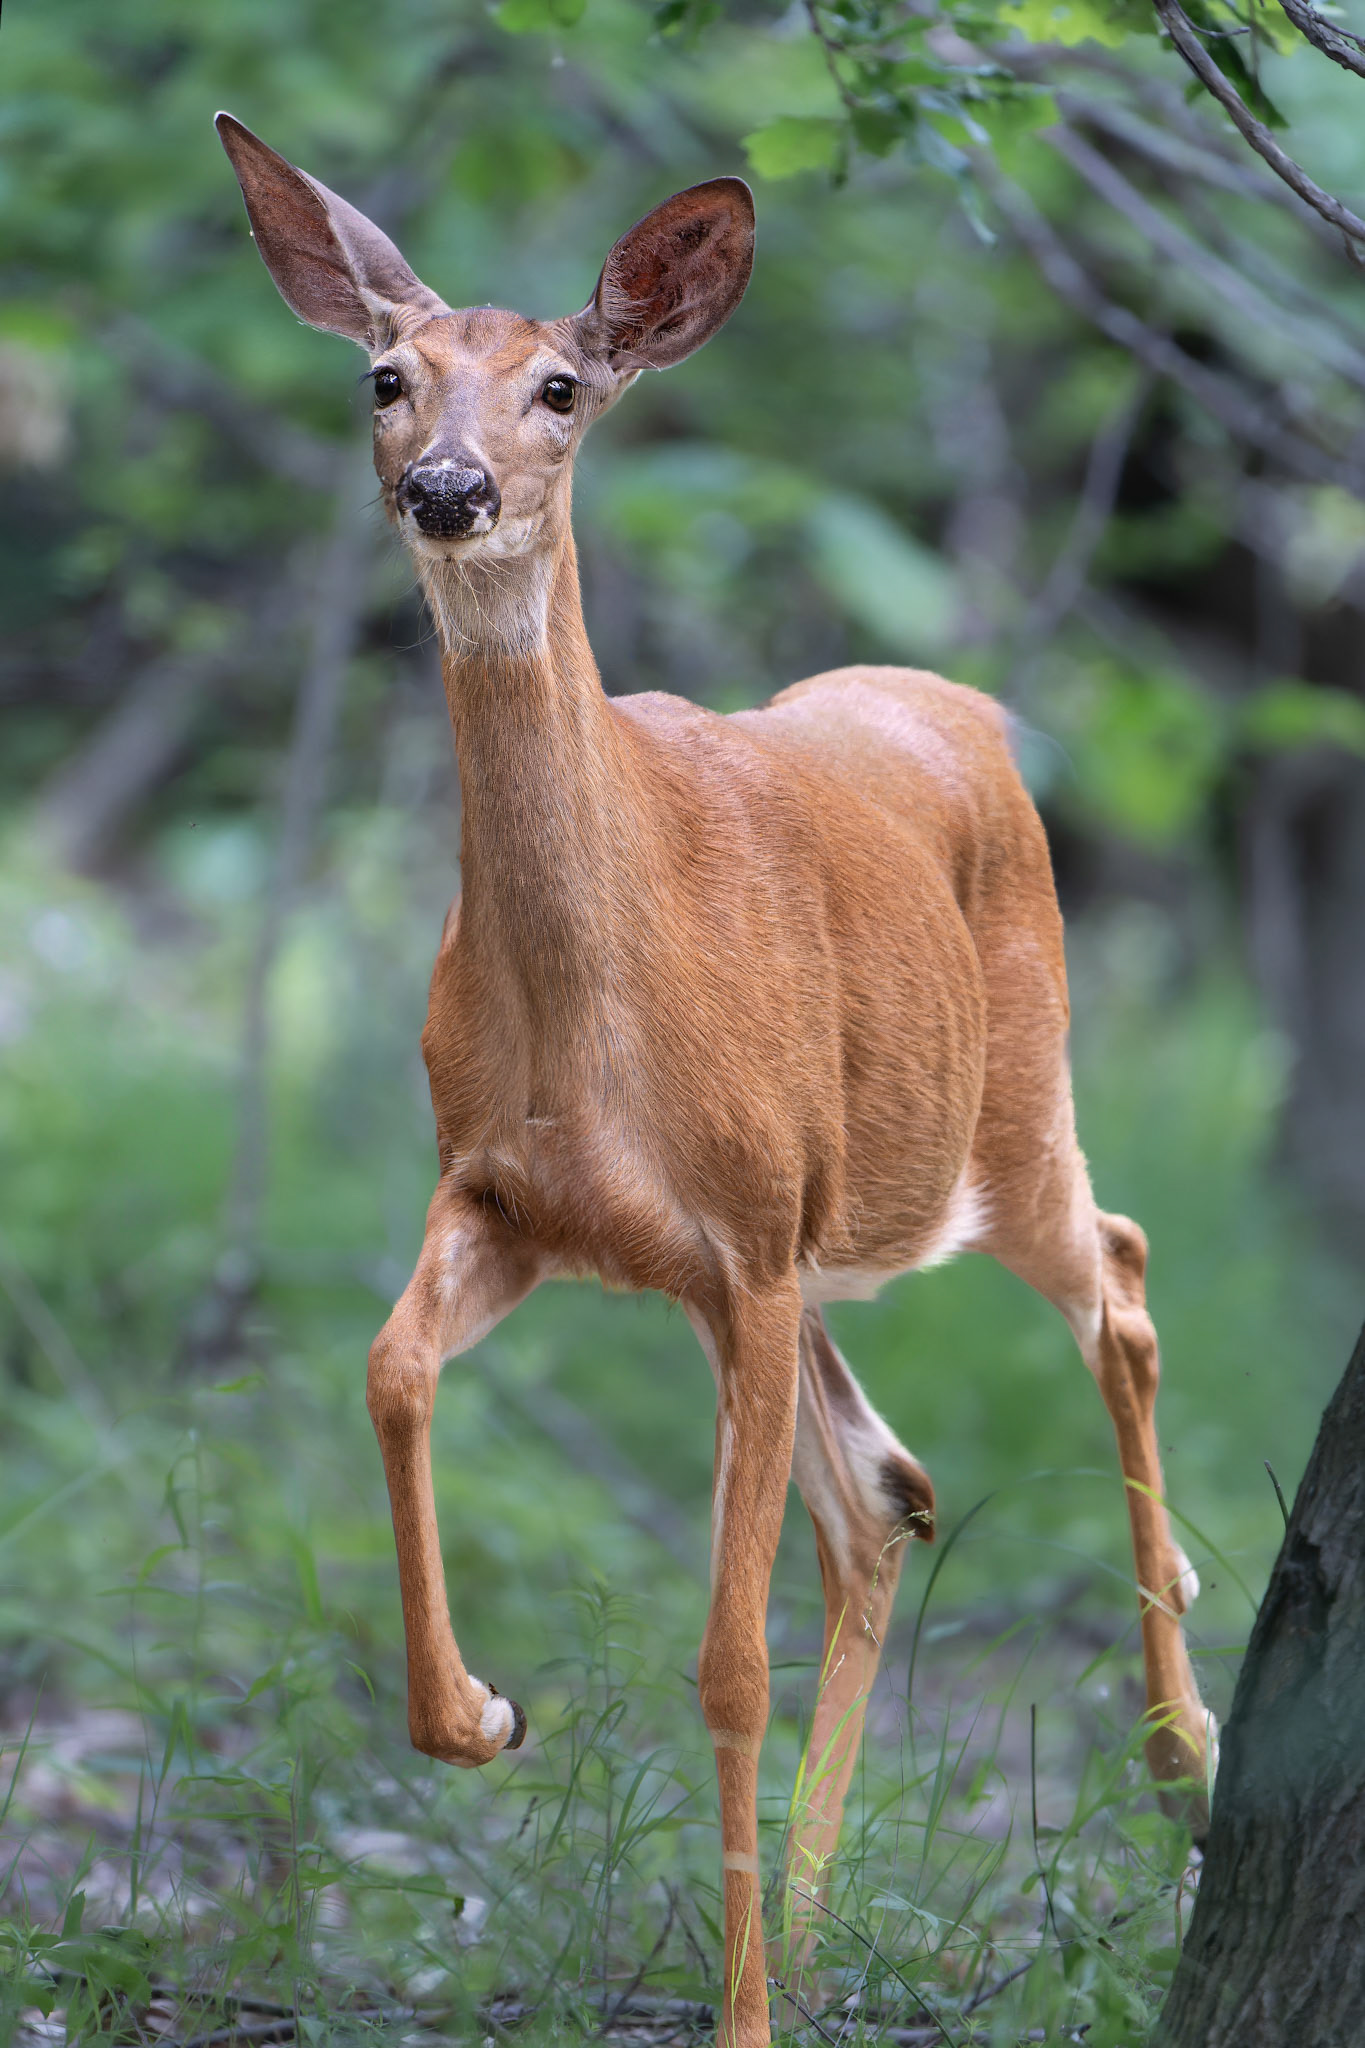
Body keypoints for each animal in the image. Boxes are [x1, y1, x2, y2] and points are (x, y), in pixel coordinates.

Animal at [217, 112, 1217, 2047]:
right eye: (386, 375)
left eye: (560, 387)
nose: (446, 488)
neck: (596, 1012)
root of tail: (964, 708)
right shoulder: (518, 1196)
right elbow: (387, 1370)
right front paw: (479, 1714)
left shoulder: (747, 1236)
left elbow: (728, 1662)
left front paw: (739, 2015)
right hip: (791, 1254)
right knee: (885, 1494)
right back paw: (823, 1931)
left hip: (997, 1122)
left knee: (1123, 1277)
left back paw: (1179, 1737)